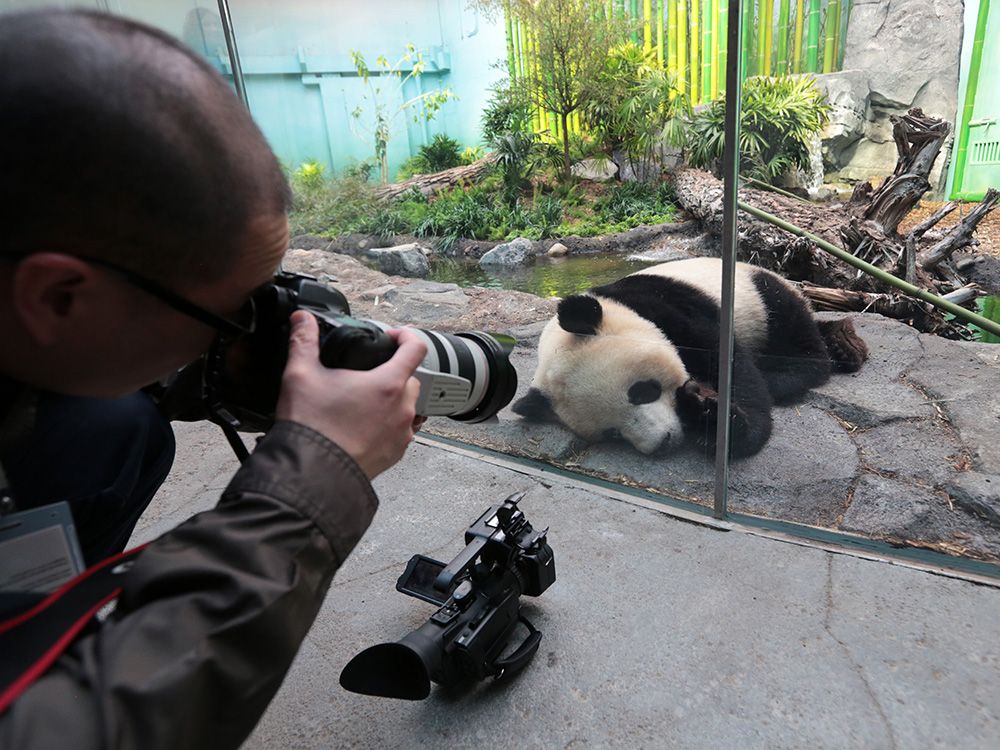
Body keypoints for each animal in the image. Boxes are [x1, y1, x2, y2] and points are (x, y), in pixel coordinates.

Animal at [512, 258, 864, 458]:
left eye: (642, 391)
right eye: (611, 433)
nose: (663, 442)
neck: (620, 310)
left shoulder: (672, 308)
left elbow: (731, 365)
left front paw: (722, 424)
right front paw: (700, 407)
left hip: (759, 293)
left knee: (791, 327)